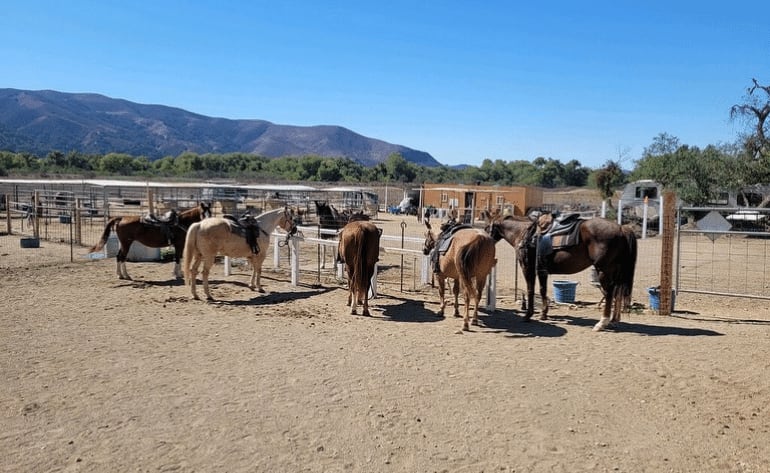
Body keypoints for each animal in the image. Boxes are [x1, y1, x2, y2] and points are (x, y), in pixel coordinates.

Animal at [486, 212, 636, 330]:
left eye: (487, 227)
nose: (487, 239)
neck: (523, 234)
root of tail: (621, 228)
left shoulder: (528, 268)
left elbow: (530, 290)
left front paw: (528, 315)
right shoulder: (542, 270)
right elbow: (542, 290)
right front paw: (544, 314)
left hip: (603, 270)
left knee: (609, 293)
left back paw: (602, 323)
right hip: (615, 270)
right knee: (617, 292)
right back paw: (614, 320)